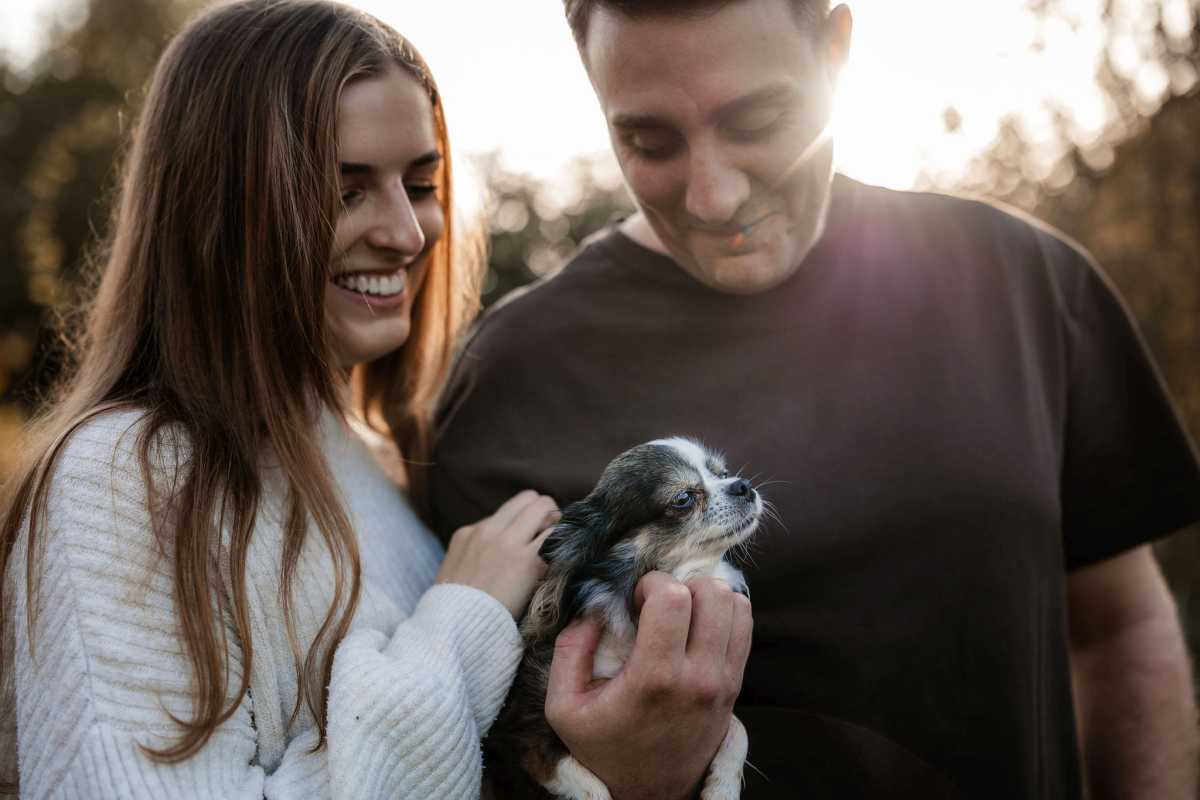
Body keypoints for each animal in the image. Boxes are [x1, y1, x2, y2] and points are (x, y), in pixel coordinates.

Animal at [484, 438, 758, 800]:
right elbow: (594, 789)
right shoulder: (525, 737)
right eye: (683, 499)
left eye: (723, 473)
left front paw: (722, 789)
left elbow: (738, 729)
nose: (743, 485)